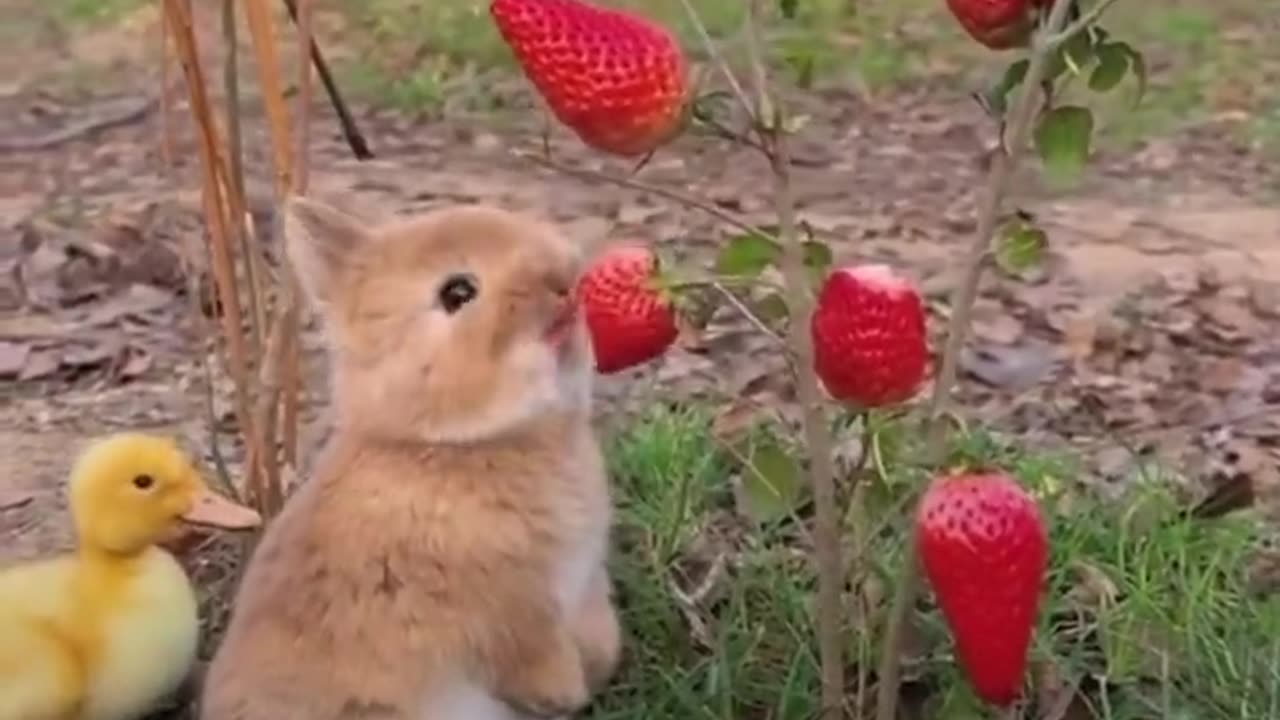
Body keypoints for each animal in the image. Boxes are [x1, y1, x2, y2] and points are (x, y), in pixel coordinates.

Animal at [197, 194, 622, 717]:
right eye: (457, 293)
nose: (563, 281)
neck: (443, 445)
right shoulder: (514, 616)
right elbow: (532, 655)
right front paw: (567, 692)